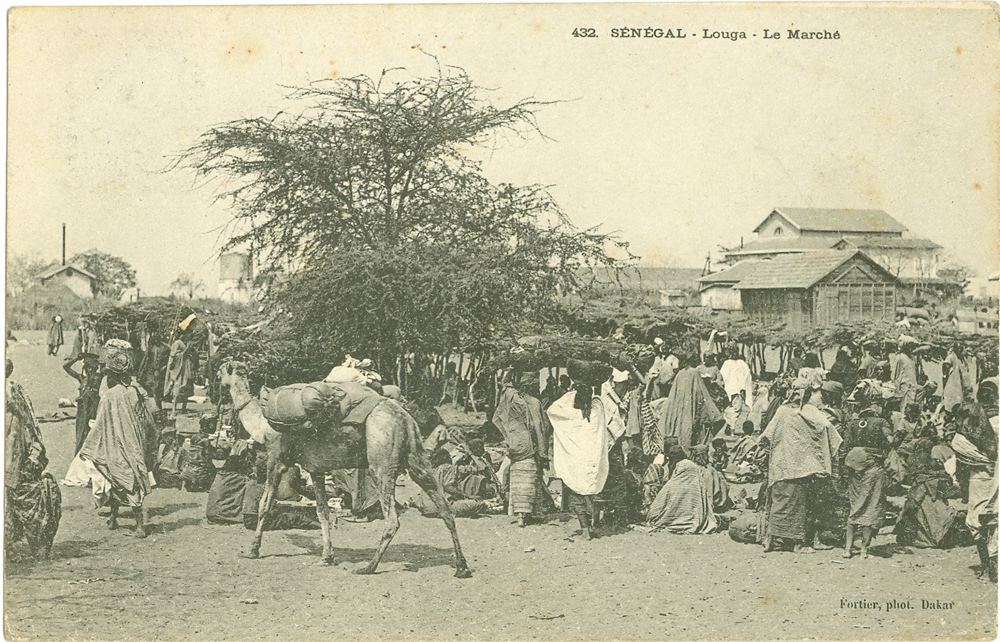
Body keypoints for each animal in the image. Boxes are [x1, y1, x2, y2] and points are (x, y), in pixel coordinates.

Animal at [219, 360, 472, 576]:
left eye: (221, 369)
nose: (217, 378)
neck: (261, 425)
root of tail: (405, 418)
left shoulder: (275, 457)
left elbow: (264, 504)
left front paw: (252, 550)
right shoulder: (315, 468)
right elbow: (322, 511)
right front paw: (327, 557)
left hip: (381, 461)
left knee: (393, 519)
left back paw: (368, 567)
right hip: (417, 457)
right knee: (445, 510)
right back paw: (462, 567)